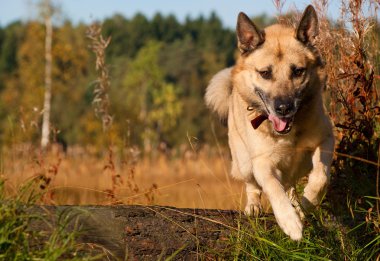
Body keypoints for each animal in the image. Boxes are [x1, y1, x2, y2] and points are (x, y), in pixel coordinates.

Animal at [206, 5, 334, 240]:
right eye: (265, 73)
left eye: (298, 71)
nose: (283, 108)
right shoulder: (262, 163)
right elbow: (273, 188)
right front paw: (290, 222)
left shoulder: (326, 140)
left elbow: (321, 177)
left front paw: (307, 204)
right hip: (244, 163)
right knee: (253, 186)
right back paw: (254, 207)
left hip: (299, 165)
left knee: (291, 185)